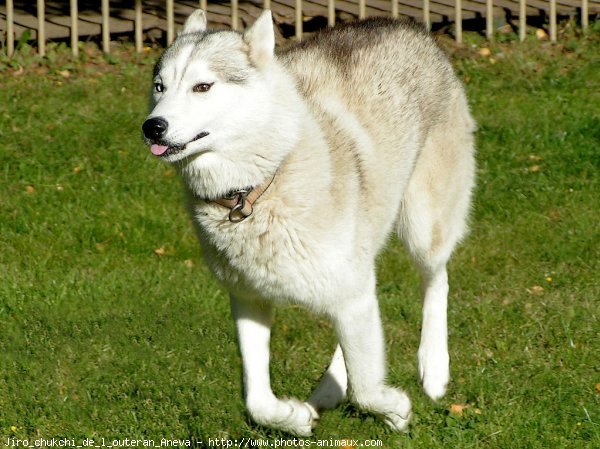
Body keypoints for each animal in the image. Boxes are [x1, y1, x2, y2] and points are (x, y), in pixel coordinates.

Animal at [141, 9, 474, 434]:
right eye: (160, 87)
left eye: (203, 86)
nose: (153, 126)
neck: (257, 188)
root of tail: (406, 25)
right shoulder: (248, 299)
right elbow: (257, 401)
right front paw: (295, 418)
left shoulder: (351, 294)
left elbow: (367, 390)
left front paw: (397, 409)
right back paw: (329, 390)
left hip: (423, 228)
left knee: (437, 280)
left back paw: (432, 368)